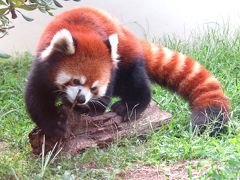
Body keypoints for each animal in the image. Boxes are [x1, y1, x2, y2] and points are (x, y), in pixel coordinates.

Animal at [24, 6, 231, 136]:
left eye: (94, 88)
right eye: (76, 81)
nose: (81, 99)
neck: (83, 32)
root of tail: (131, 36)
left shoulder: (111, 70)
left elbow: (107, 93)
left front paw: (91, 110)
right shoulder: (42, 66)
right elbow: (36, 99)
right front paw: (52, 125)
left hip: (127, 59)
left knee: (136, 83)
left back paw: (129, 106)